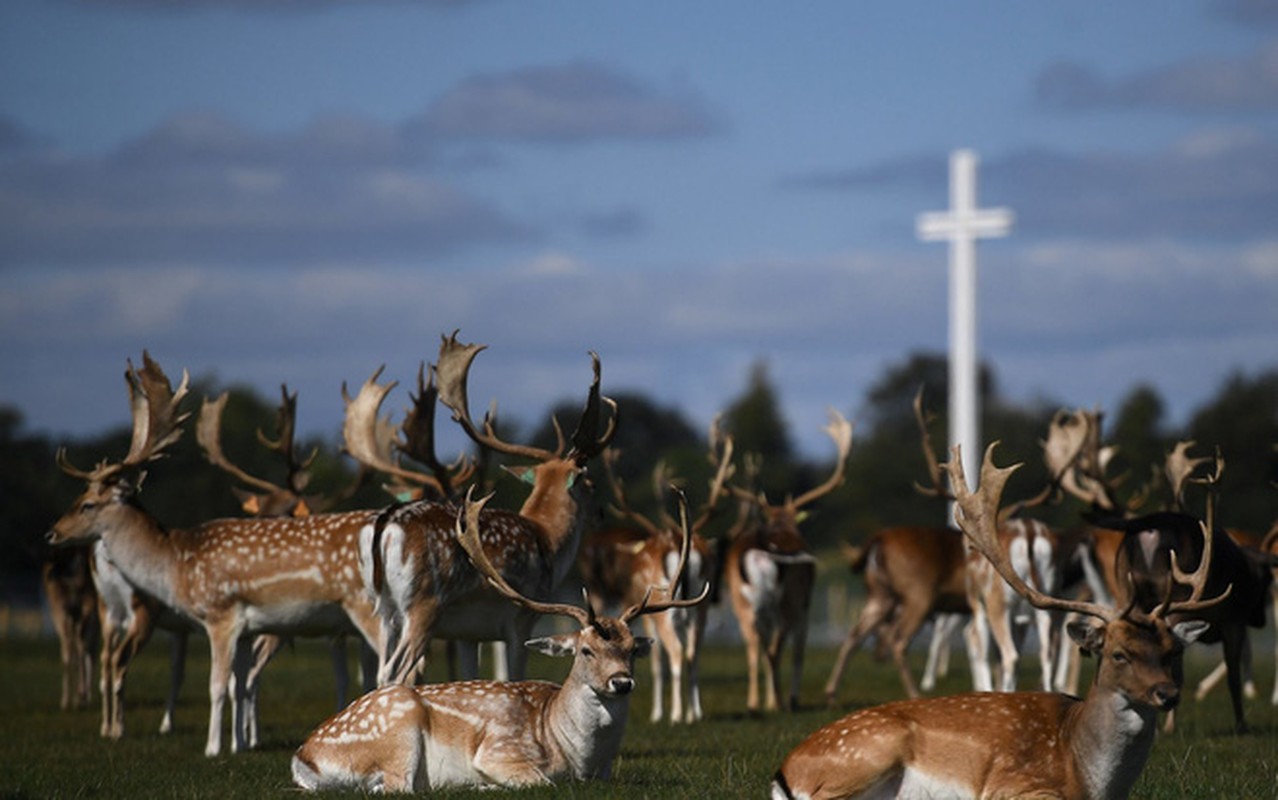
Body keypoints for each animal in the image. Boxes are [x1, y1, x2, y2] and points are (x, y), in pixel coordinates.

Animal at [47, 350, 383, 751]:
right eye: (78, 495)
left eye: (88, 504)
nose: (53, 533)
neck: (177, 561)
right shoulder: (248, 626)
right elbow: (239, 684)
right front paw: (238, 744)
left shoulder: (222, 616)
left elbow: (218, 685)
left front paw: (213, 748)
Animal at [292, 485, 710, 792]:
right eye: (586, 650)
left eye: (631, 649)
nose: (621, 682)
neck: (578, 758)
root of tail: (303, 757)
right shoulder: (499, 749)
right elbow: (542, 782)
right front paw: (486, 782)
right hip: (400, 727)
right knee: (397, 786)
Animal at [360, 329, 618, 684]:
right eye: (590, 483)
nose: (602, 513)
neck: (548, 540)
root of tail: (387, 523)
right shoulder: (520, 620)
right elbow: (513, 675)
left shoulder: (469, 635)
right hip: (422, 605)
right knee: (394, 671)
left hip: (384, 610)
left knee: (380, 670)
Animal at [725, 408, 853, 705]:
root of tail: (761, 550)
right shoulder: (805, 602)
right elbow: (799, 651)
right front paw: (791, 697)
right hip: (788, 599)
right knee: (775, 647)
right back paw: (781, 702)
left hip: (743, 601)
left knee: (754, 645)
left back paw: (755, 703)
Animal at [766, 439, 1226, 797]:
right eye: (1118, 653)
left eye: (1171, 651)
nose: (1168, 693)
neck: (1089, 779)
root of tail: (784, 772)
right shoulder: (1011, 786)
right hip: (868, 751)